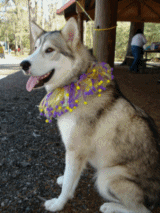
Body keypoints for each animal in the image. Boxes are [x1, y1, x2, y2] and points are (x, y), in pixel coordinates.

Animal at [20, 17, 160, 212]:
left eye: (49, 50)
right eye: (35, 48)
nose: (23, 64)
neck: (75, 82)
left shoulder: (74, 150)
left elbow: (67, 183)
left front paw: (58, 203)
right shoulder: (78, 153)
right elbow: (71, 178)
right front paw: (66, 187)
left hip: (105, 178)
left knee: (141, 210)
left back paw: (109, 206)